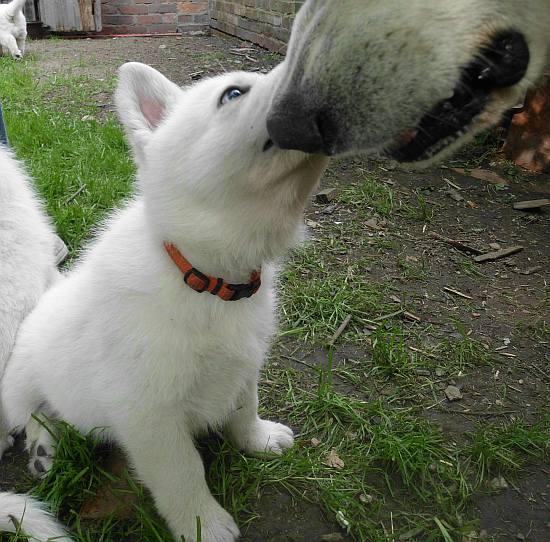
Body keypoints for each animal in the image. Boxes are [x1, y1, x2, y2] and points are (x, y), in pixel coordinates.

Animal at [0, 63, 328, 542]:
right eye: (233, 94)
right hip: (21, 382)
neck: (206, 280)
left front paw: (258, 439)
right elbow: (183, 473)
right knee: (33, 412)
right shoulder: (150, 417)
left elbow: (244, 408)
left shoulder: (243, 365)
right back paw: (42, 444)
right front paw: (203, 524)